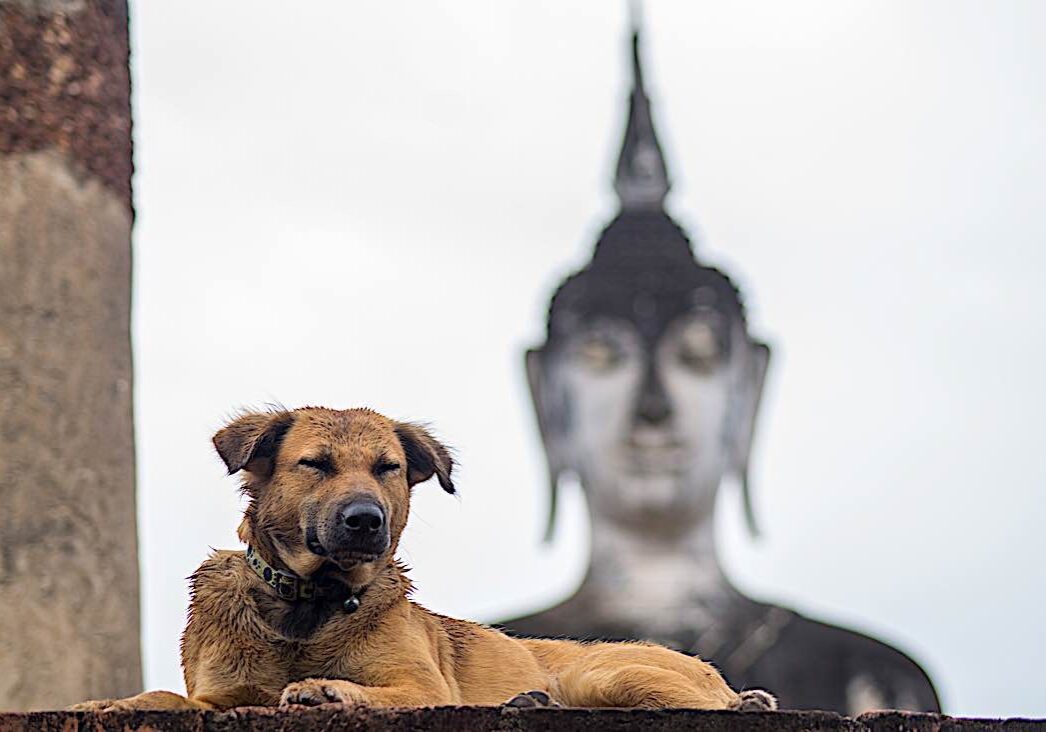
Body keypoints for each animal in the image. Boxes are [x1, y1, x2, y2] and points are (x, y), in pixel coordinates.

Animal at [71, 405, 778, 711]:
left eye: (387, 468)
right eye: (315, 464)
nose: (366, 520)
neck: (309, 604)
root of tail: (713, 669)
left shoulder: (421, 685)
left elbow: (371, 687)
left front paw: (326, 687)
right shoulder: (221, 694)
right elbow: (165, 696)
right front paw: (113, 704)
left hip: (604, 675)